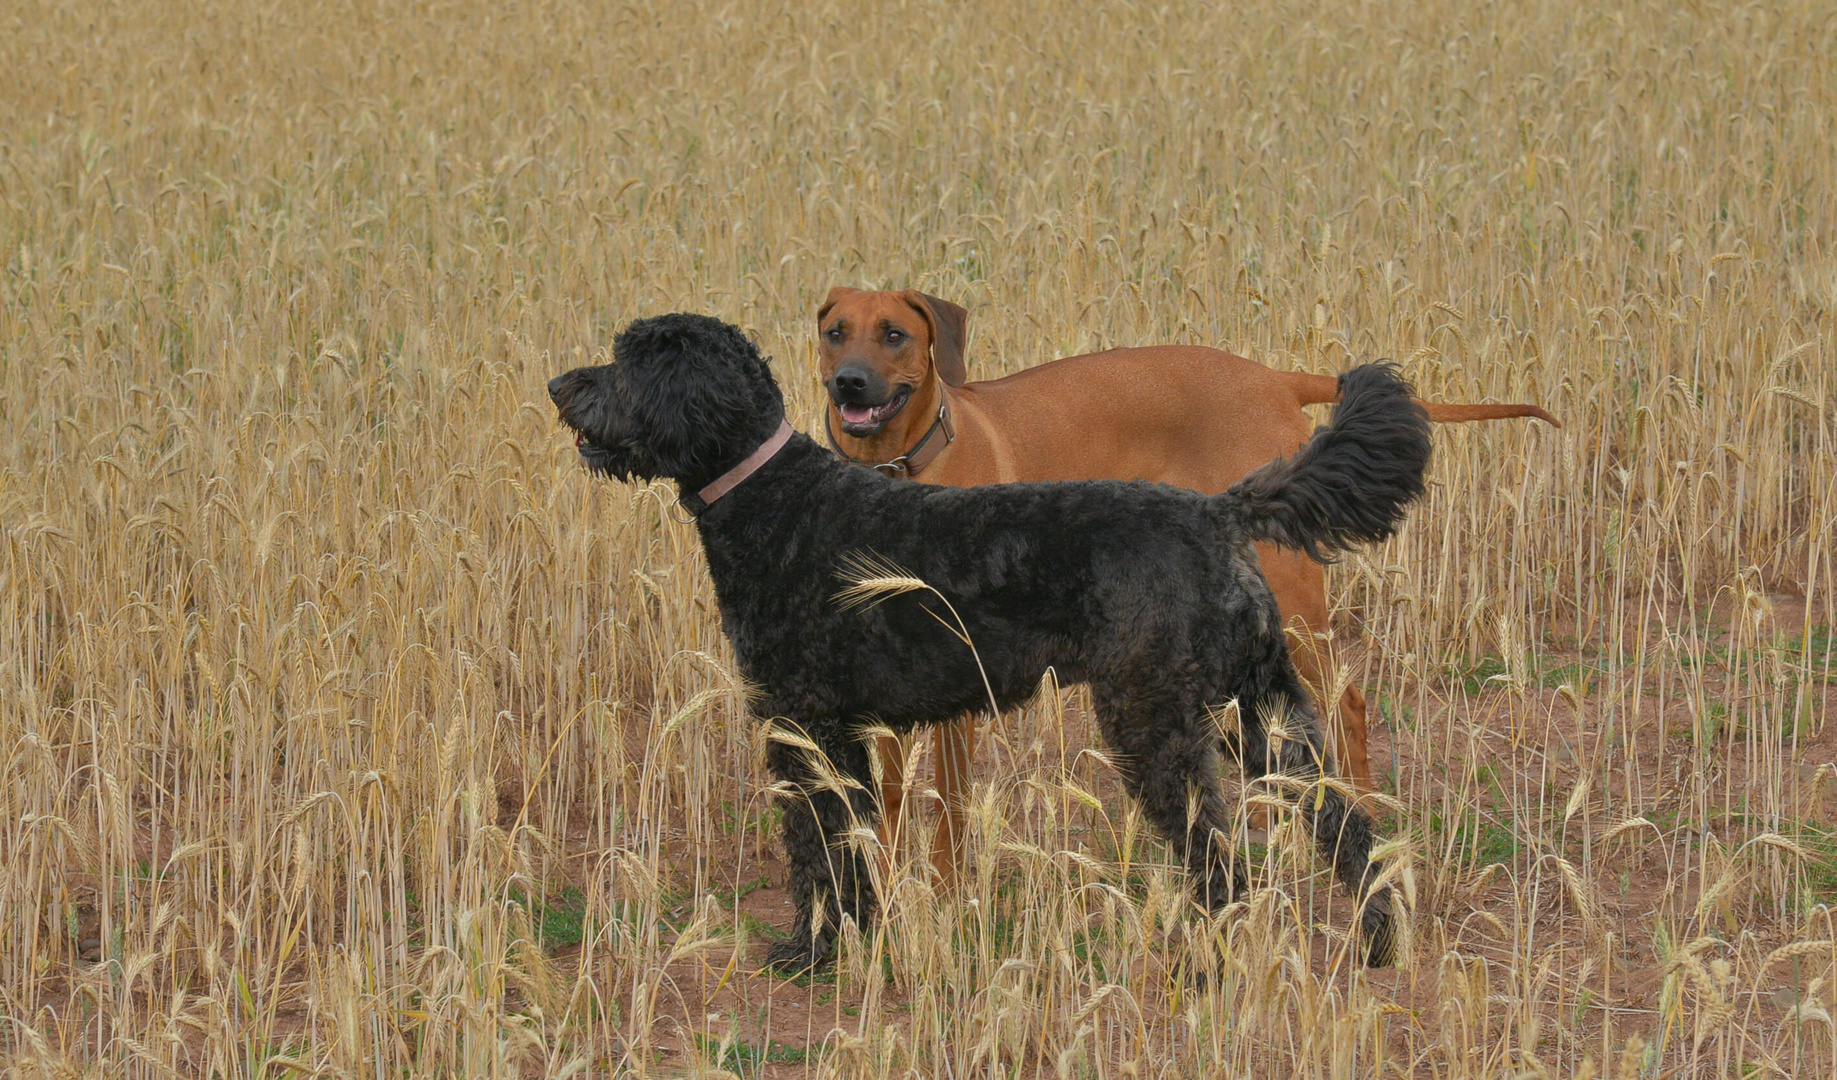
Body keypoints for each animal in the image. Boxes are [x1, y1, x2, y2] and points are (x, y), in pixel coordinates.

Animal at [547, 312, 1432, 969]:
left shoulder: (805, 725)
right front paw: (860, 937)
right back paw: (1376, 941)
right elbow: (856, 845)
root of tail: (1218, 514)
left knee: (1218, 856)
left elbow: (818, 847)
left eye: (631, 363)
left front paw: (813, 950)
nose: (559, 385)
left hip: (1156, 722)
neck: (776, 498)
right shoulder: (846, 735)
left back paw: (1213, 959)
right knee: (1345, 824)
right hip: (1261, 710)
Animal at [819, 286, 1550, 885]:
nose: (849, 384)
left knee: (1347, 705)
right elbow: (887, 801)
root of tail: (1272, 378)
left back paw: (1363, 819)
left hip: (1287, 594)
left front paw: (944, 900)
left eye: (894, 334)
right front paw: (887, 897)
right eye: (835, 332)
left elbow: (947, 808)